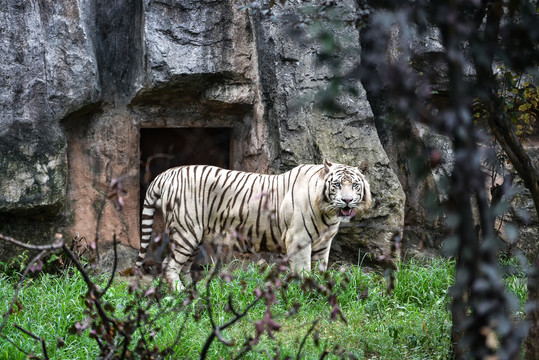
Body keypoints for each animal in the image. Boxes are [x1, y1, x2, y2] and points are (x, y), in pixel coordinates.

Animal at [136, 160, 372, 290]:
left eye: (355, 185)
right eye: (337, 185)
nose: (347, 200)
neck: (328, 213)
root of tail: (166, 174)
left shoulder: (323, 244)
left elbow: (321, 268)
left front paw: (322, 289)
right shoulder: (299, 240)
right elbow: (303, 270)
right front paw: (307, 291)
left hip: (194, 235)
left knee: (183, 266)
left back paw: (192, 290)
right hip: (186, 231)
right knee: (169, 266)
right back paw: (179, 293)